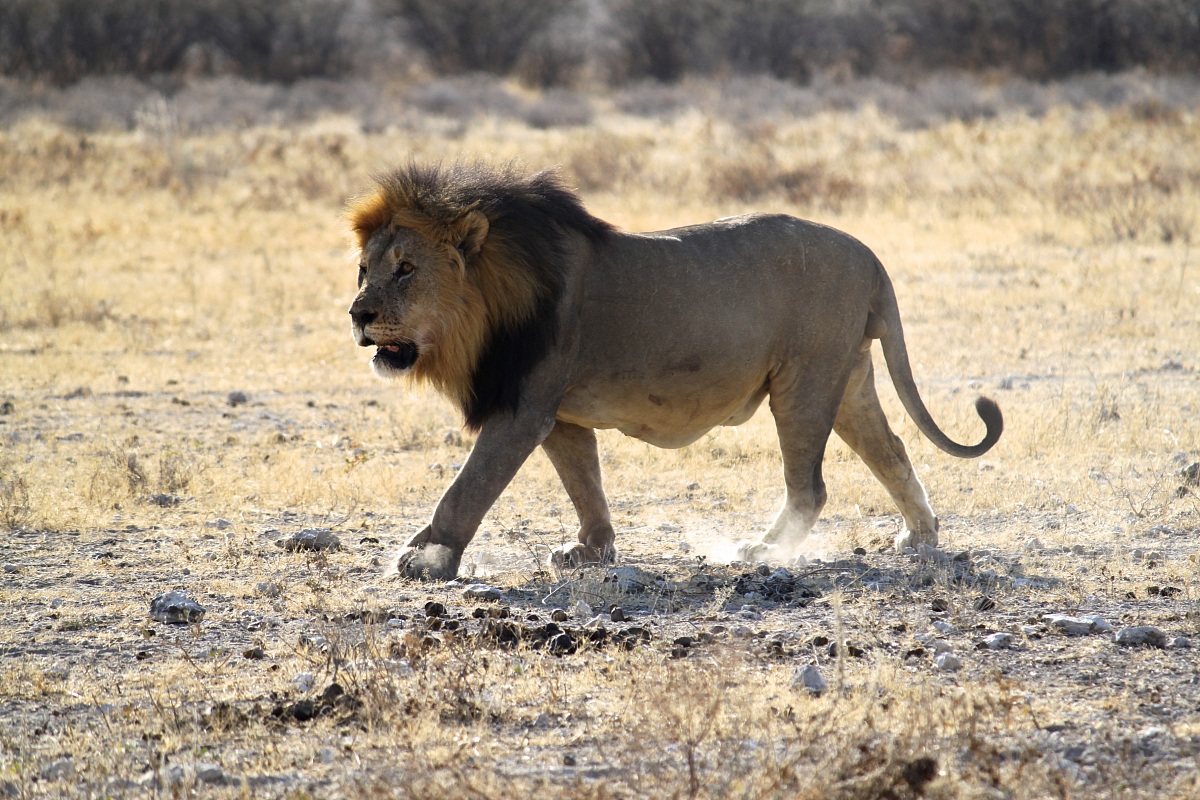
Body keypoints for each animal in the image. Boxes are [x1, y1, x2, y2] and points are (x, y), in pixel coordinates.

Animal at [347, 162, 1002, 580]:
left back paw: (760, 551)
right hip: (848, 379)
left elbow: (468, 489)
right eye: (363, 269)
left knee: (811, 487)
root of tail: (870, 256)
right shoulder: (559, 414)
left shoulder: (521, 410)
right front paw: (591, 551)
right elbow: (585, 483)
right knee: (892, 451)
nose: (357, 314)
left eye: (406, 269)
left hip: (803, 383)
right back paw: (921, 536)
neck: (489, 303)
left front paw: (427, 559)